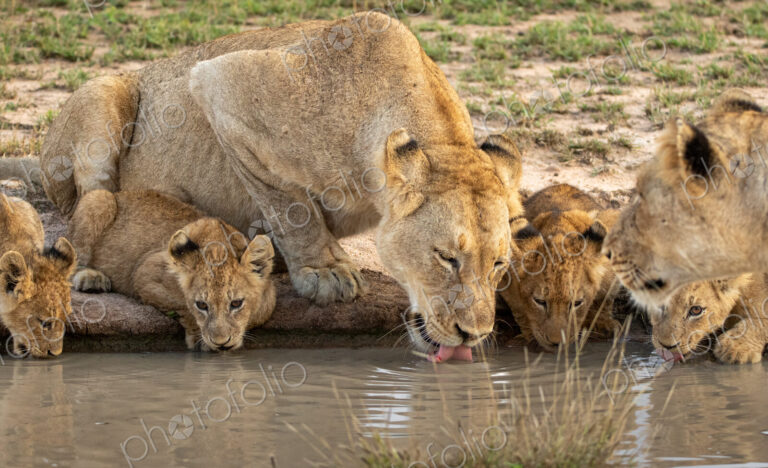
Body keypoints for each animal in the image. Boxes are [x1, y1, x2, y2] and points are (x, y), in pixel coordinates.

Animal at [67, 190, 276, 351]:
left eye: (236, 303)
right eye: (202, 305)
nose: (221, 343)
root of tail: (120, 193)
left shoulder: (269, 299)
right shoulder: (145, 272)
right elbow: (183, 305)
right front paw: (200, 339)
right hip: (98, 198)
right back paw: (92, 279)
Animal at [499, 184, 620, 350]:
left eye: (576, 303)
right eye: (540, 301)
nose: (556, 343)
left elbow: (604, 299)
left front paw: (604, 325)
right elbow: (519, 311)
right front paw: (529, 334)